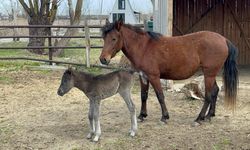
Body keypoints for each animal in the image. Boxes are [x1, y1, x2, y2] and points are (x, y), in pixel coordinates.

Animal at [99, 19, 238, 125]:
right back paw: (209, 116)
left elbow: (160, 96)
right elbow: (143, 96)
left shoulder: (154, 77)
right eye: (104, 38)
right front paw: (142, 115)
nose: (103, 59)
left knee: (208, 96)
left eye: (114, 38)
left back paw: (199, 118)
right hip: (210, 74)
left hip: (209, 74)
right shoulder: (143, 76)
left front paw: (164, 117)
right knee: (215, 91)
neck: (144, 47)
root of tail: (224, 39)